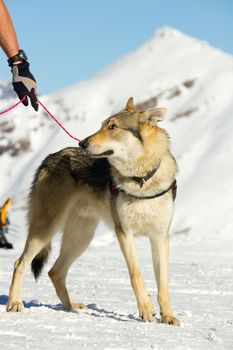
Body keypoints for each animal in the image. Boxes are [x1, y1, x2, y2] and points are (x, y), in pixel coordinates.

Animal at [6, 97, 178, 324]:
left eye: (113, 127)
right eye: (102, 124)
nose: (82, 143)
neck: (141, 180)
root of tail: (48, 157)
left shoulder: (160, 236)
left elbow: (163, 283)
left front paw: (168, 316)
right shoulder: (124, 233)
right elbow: (136, 274)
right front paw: (146, 310)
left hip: (81, 238)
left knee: (55, 272)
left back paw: (72, 307)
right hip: (46, 230)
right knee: (20, 263)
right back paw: (14, 303)